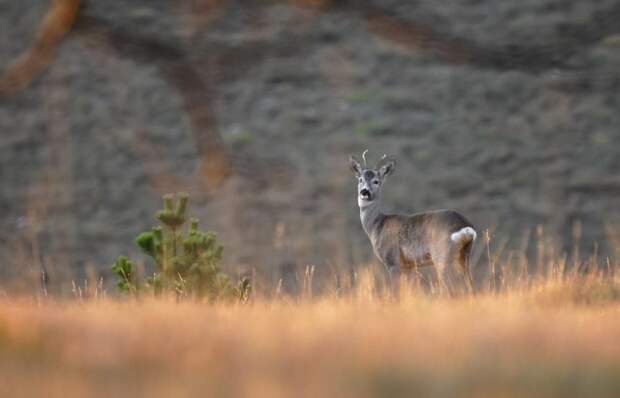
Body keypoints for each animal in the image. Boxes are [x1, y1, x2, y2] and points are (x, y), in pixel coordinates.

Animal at [348, 151, 474, 294]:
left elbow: (395, 293)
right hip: (465, 256)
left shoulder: (392, 260)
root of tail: (465, 226)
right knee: (471, 285)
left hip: (442, 255)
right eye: (360, 179)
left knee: (450, 289)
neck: (377, 226)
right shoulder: (409, 266)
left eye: (376, 181)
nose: (364, 192)